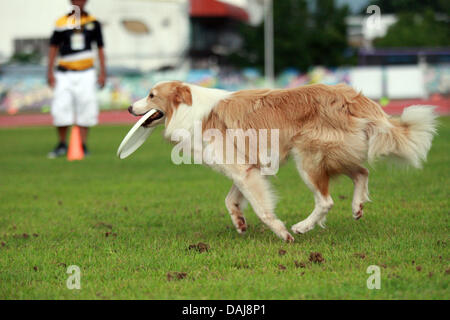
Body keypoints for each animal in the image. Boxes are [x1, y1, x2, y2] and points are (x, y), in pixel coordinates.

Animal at [128, 80, 438, 242]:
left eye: (151, 95)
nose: (129, 107)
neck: (190, 108)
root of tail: (352, 96)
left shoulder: (243, 169)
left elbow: (262, 208)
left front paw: (281, 233)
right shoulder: (249, 168)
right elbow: (231, 201)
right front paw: (240, 222)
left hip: (308, 159)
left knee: (326, 200)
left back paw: (302, 227)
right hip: (335, 155)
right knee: (362, 172)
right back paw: (357, 206)